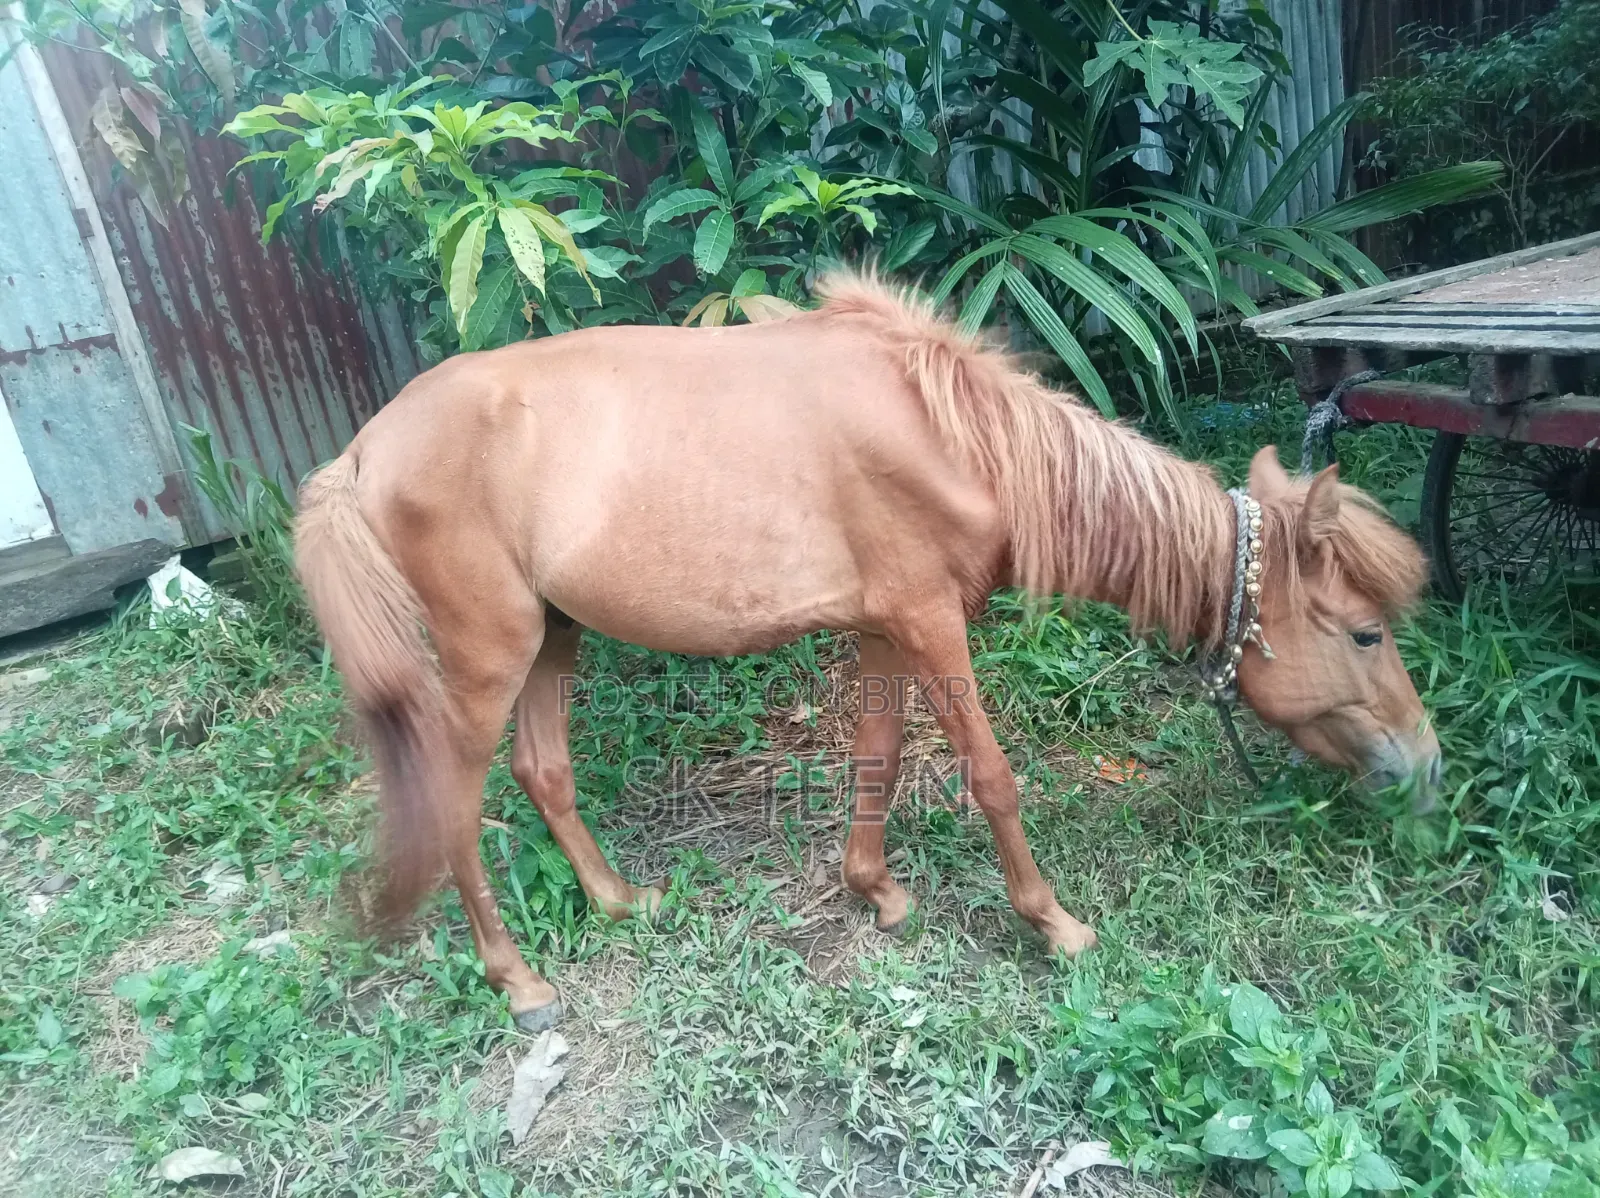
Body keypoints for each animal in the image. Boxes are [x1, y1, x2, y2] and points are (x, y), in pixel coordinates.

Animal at [295, 272, 1439, 1032]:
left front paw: (873, 891)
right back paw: (518, 979)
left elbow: (878, 759)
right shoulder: (930, 621)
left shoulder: (887, 628)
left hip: (552, 639)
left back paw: (619, 902)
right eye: (1366, 630)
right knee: (455, 803)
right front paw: (1052, 924)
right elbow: (990, 773)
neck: (957, 438)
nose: (1425, 767)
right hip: (489, 656)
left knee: (544, 769)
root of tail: (361, 452)